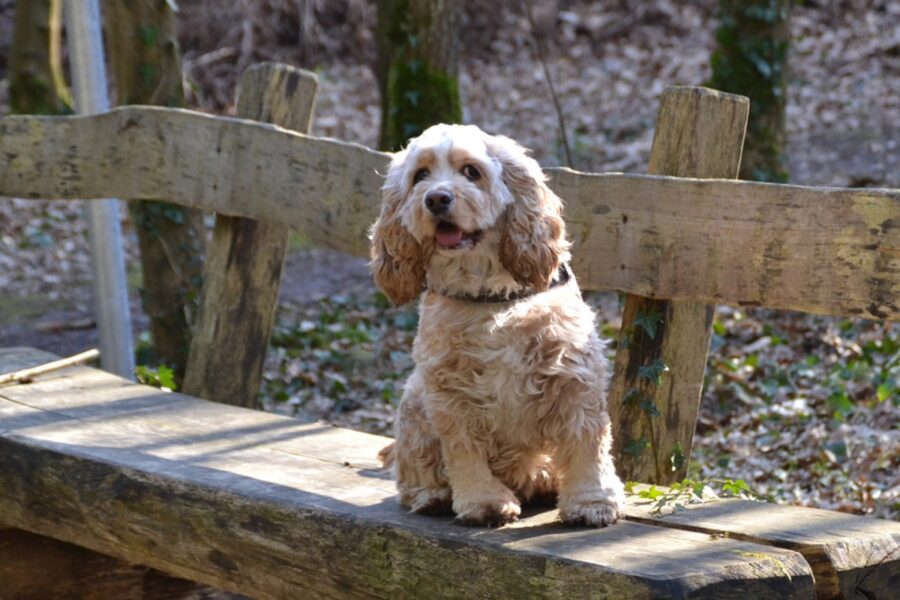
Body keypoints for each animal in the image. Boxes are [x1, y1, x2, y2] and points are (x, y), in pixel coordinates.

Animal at [370, 124, 624, 528]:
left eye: (471, 171)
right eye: (420, 176)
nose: (436, 198)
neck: (489, 295)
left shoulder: (573, 377)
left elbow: (587, 443)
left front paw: (592, 501)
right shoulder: (449, 390)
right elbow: (464, 452)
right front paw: (483, 502)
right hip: (413, 402)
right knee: (413, 470)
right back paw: (431, 496)